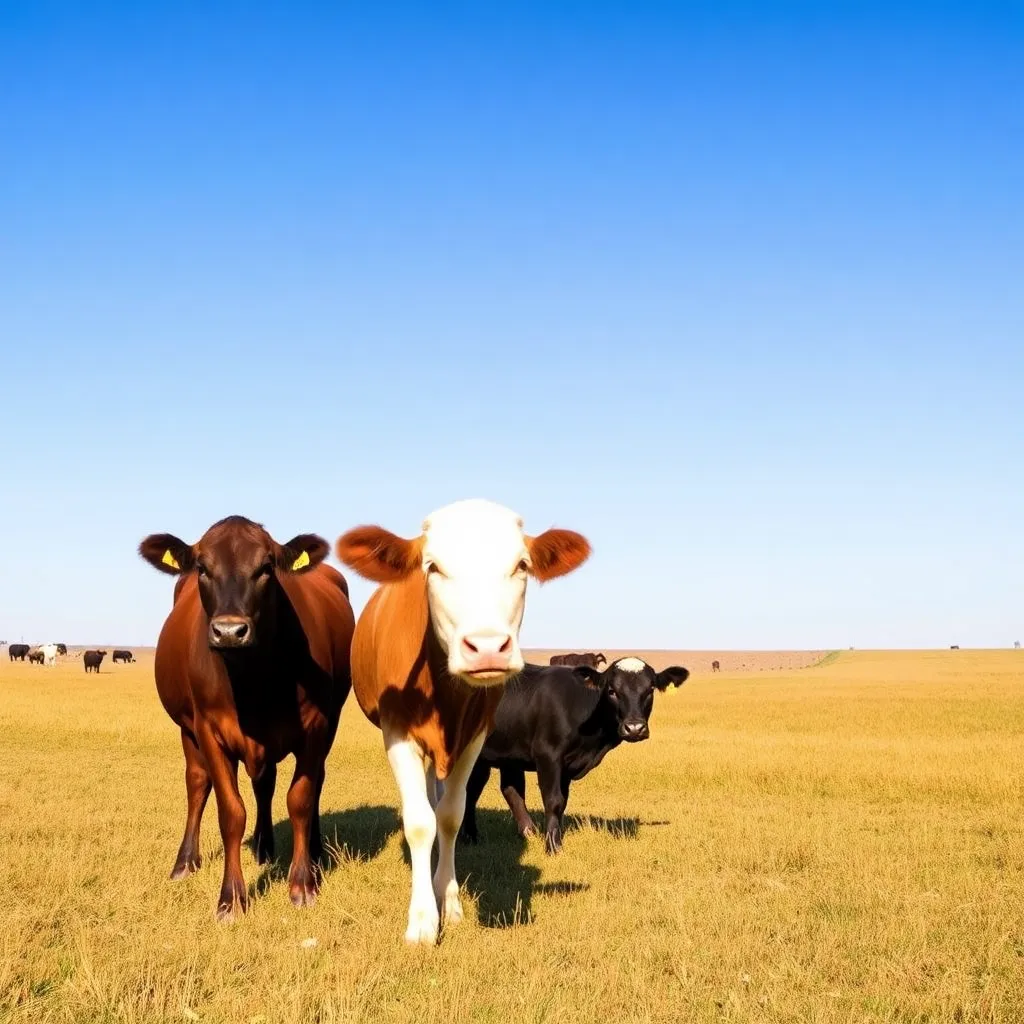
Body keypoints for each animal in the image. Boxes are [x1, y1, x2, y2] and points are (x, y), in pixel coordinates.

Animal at [138, 515, 355, 920]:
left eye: (266, 567)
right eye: (202, 567)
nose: (229, 631)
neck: (253, 681)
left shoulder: (316, 726)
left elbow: (301, 798)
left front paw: (302, 882)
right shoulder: (209, 730)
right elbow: (230, 811)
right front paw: (231, 896)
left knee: (292, 783)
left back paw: (304, 850)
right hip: (188, 729)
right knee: (198, 783)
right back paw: (188, 861)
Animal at [335, 498, 590, 945]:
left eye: (521, 564)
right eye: (432, 566)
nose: (487, 647)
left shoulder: (474, 737)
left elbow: (450, 816)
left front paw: (449, 901)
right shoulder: (397, 733)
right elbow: (420, 822)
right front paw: (422, 919)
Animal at [460, 656, 689, 854]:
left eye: (650, 689)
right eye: (612, 690)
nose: (634, 728)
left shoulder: (567, 767)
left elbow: (562, 802)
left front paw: (553, 837)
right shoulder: (548, 756)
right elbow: (553, 800)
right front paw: (553, 846)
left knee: (502, 789)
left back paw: (521, 833)